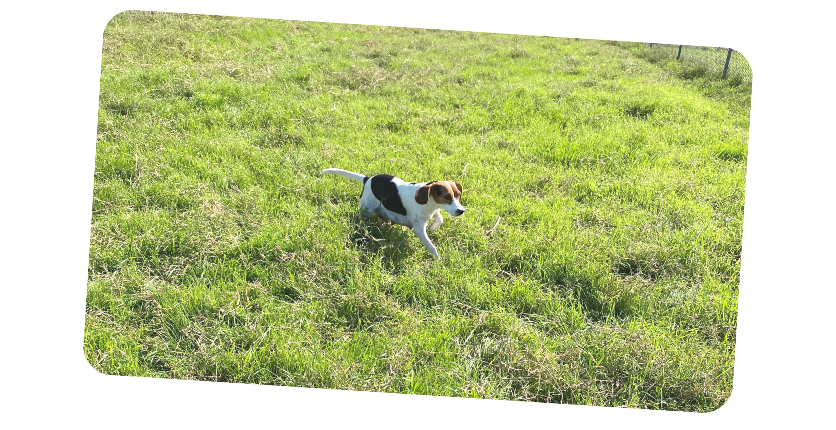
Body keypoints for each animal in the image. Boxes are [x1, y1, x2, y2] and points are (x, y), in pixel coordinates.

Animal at [322, 169, 466, 260]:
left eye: (459, 195)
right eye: (446, 196)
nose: (461, 211)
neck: (430, 203)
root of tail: (367, 180)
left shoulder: (434, 212)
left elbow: (439, 219)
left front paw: (433, 227)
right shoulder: (419, 229)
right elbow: (431, 246)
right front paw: (438, 259)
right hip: (367, 209)